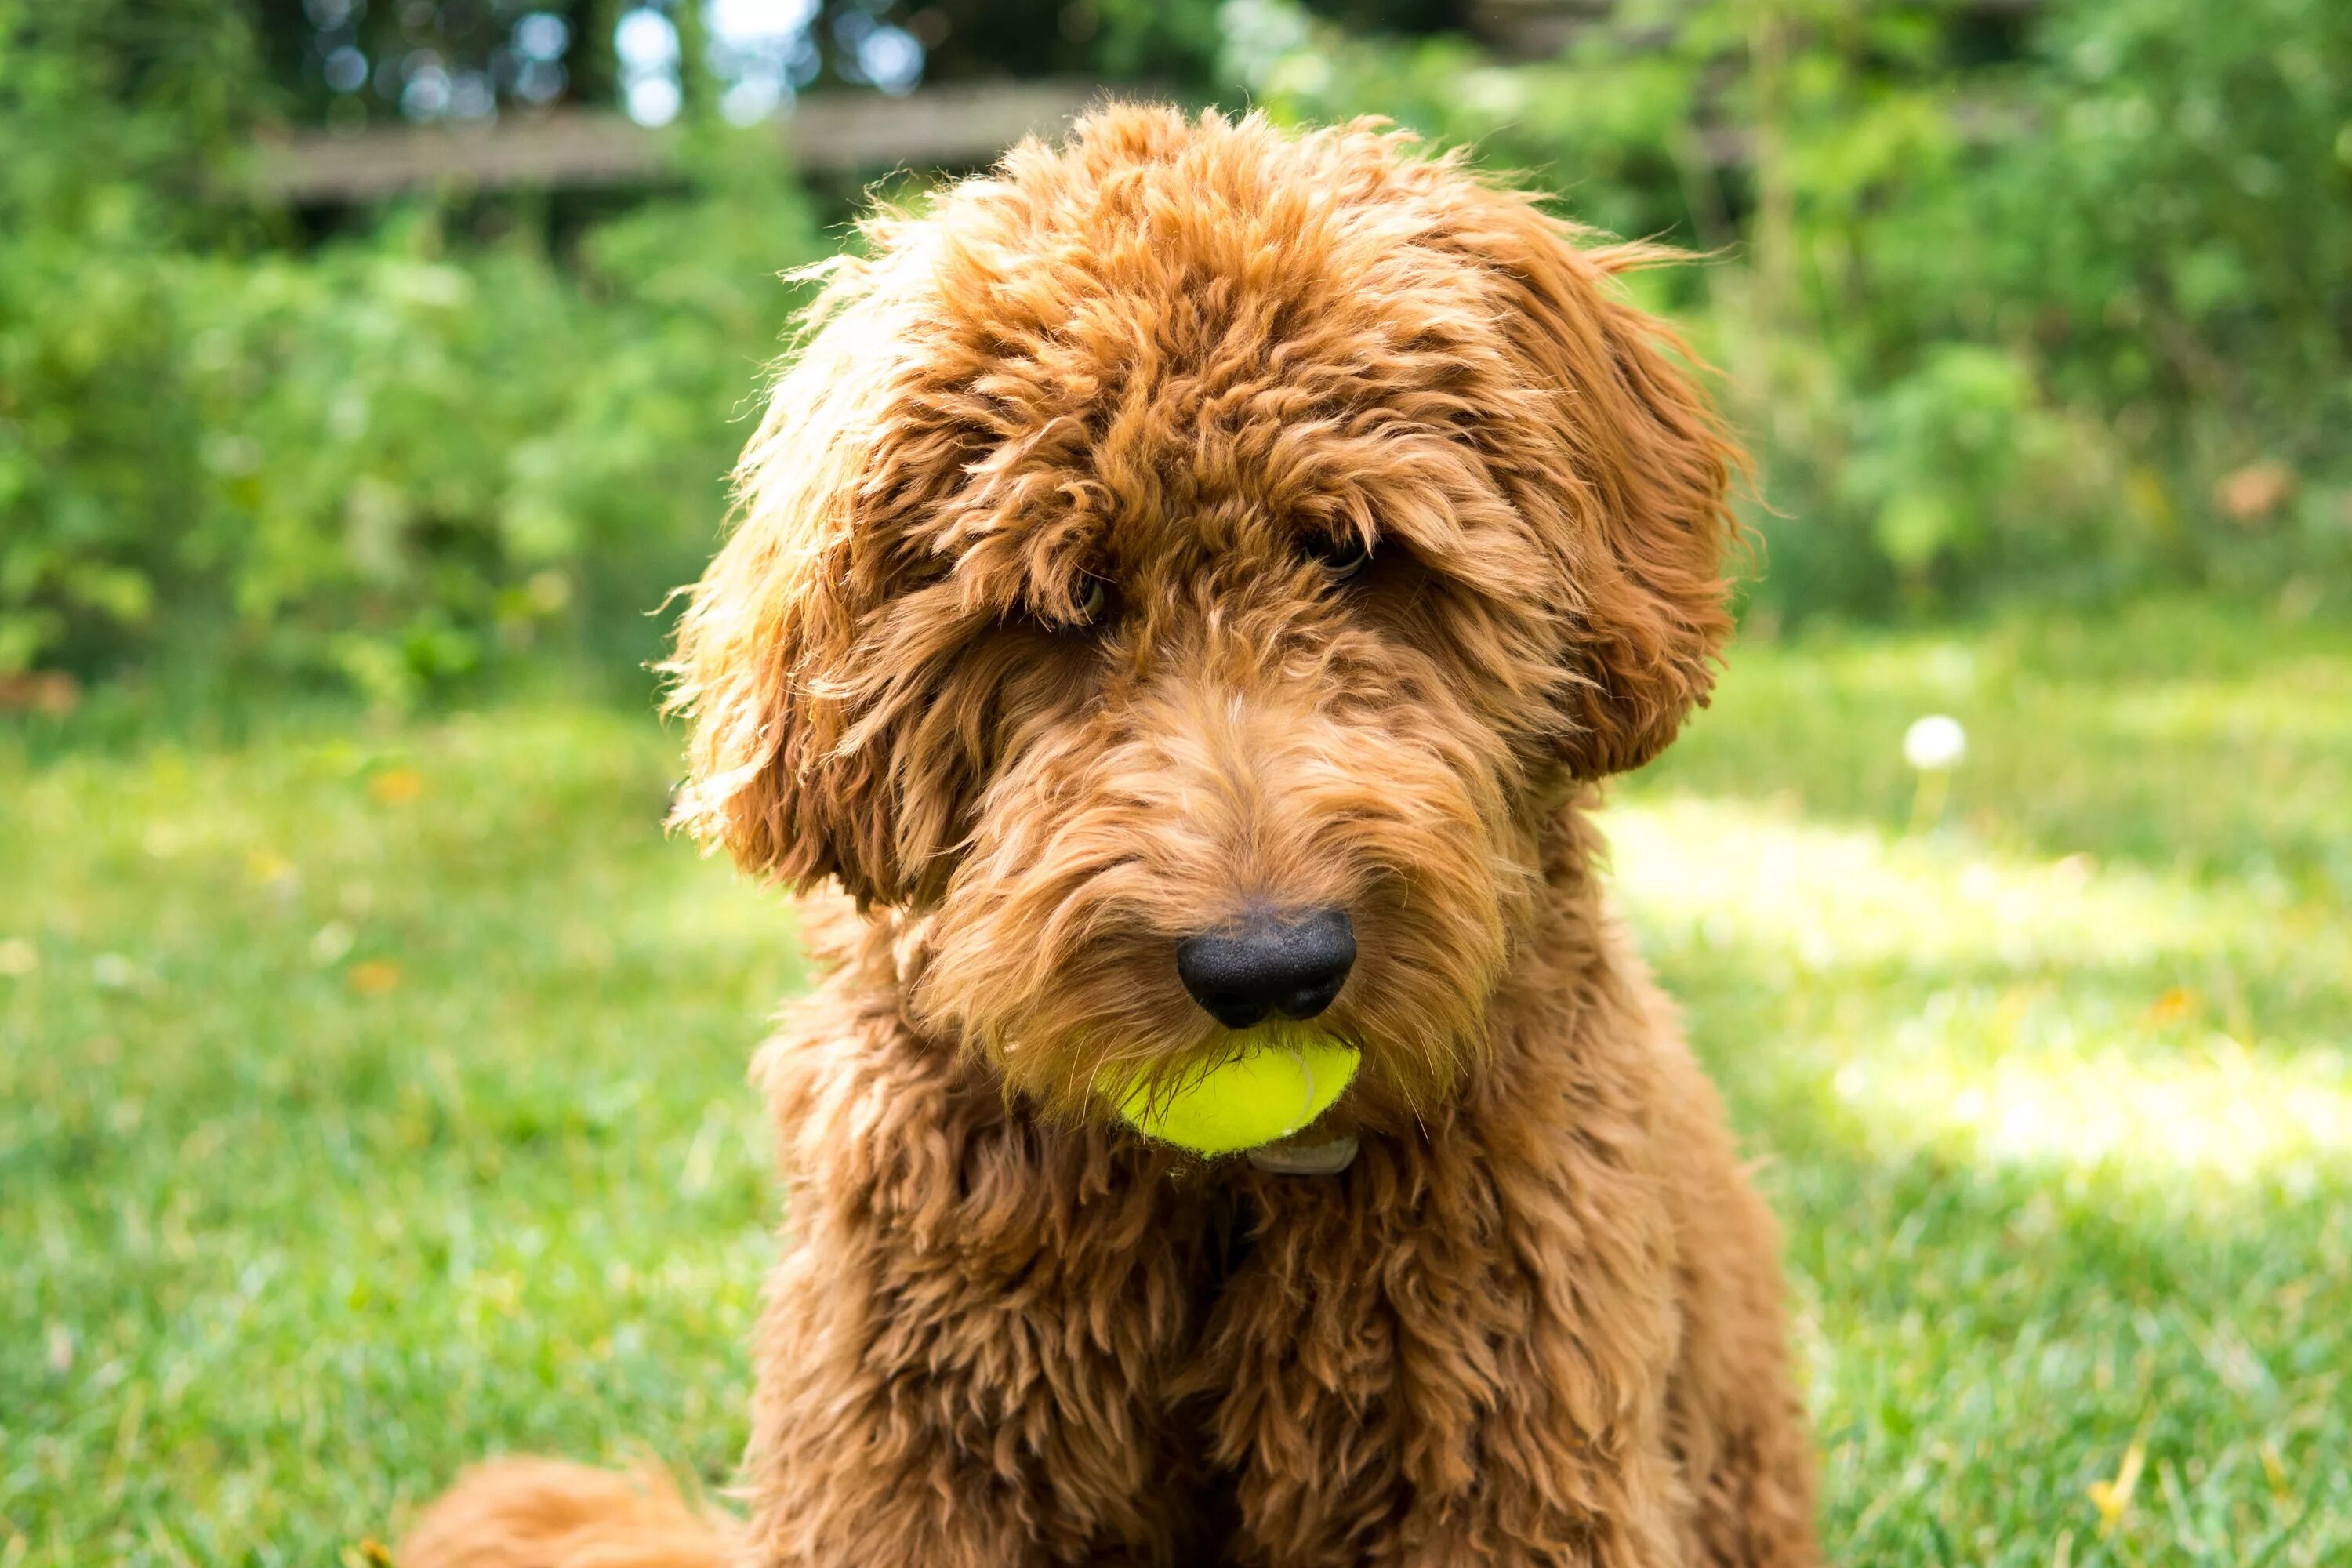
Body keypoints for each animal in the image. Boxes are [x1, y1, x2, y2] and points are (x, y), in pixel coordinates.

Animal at [400, 103, 1816, 1561]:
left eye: (1354, 552)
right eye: (1065, 603)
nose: (1271, 970)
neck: (1221, 1201)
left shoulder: (1507, 1457)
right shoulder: (906, 1446)